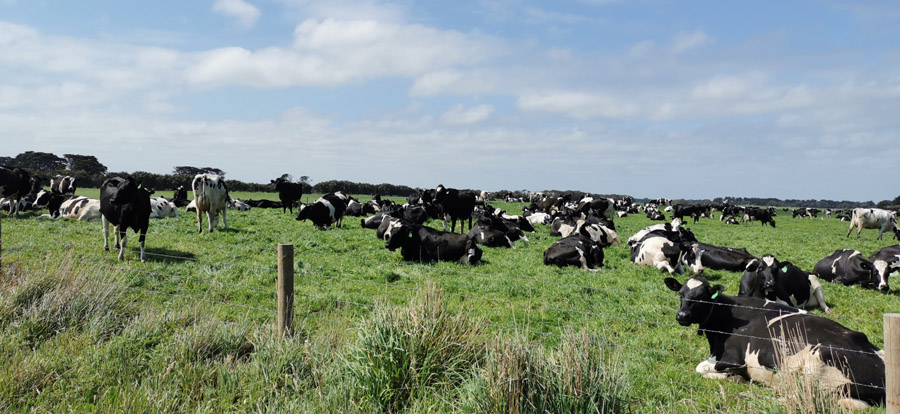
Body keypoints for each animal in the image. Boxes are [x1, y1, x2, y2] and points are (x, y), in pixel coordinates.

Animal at [664, 276, 884, 410]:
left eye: (702, 296)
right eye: (681, 294)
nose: (682, 316)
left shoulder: (735, 358)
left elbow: (700, 367)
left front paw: (732, 377)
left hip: (816, 368)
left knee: (796, 399)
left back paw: (751, 396)